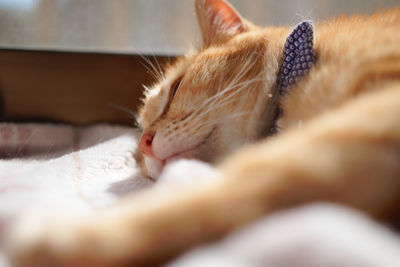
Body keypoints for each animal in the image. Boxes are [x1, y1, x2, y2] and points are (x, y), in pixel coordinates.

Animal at [7, 1, 400, 266]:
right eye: (137, 150)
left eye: (175, 90)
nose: (145, 145)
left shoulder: (366, 127)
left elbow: (232, 197)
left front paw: (77, 239)